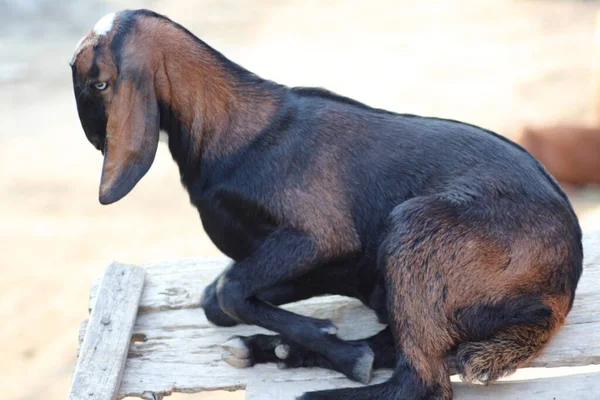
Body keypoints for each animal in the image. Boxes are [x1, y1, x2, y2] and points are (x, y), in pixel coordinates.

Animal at [70, 10, 580, 400]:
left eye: (97, 84)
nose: (95, 142)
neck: (236, 131)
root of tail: (559, 291)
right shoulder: (335, 264)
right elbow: (216, 299)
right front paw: (309, 342)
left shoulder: (319, 235)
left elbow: (231, 291)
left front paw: (334, 345)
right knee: (404, 343)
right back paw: (279, 350)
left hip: (413, 228)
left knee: (423, 383)